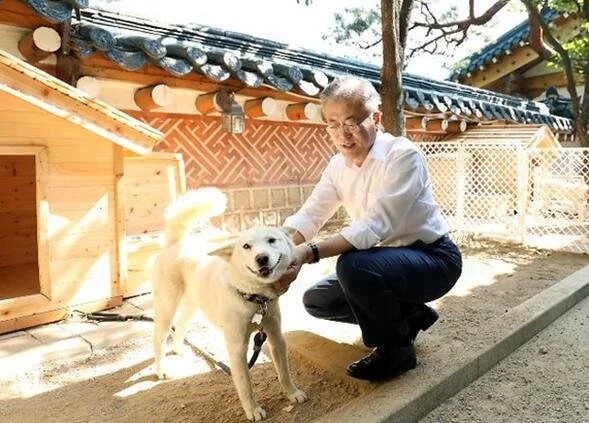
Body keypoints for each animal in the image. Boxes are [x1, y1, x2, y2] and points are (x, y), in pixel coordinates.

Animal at [152, 188, 308, 420]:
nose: (261, 258)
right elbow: (245, 385)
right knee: (159, 340)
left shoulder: (275, 336)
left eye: (272, 240)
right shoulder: (237, 348)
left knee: (180, 325)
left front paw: (293, 393)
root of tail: (176, 244)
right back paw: (161, 370)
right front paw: (253, 411)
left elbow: (284, 372)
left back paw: (179, 348)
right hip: (166, 308)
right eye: (246, 246)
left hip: (192, 305)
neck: (253, 298)